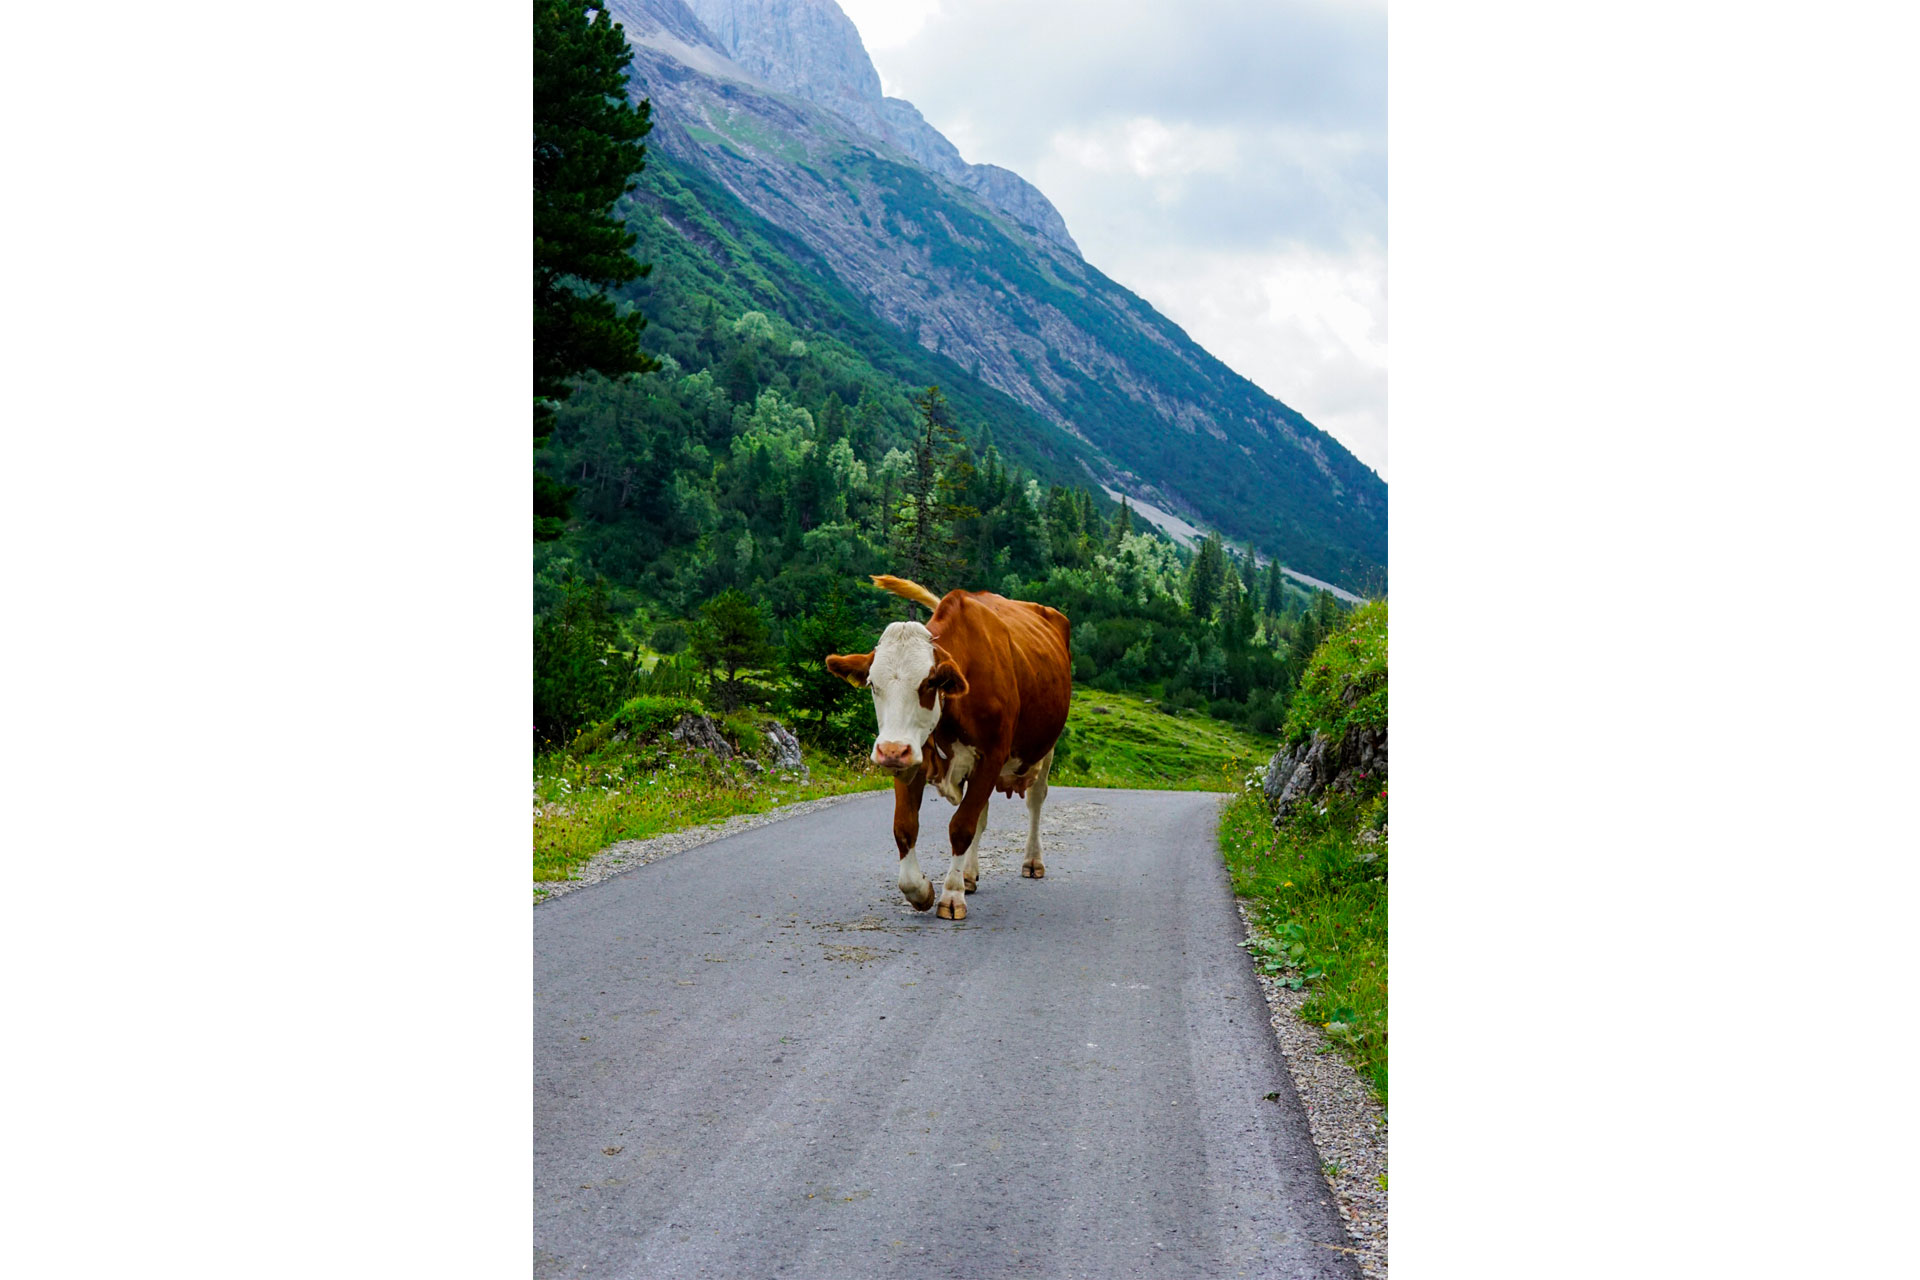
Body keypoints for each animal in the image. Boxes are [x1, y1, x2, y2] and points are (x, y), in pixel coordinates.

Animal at [821, 571, 1075, 921]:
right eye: (872, 683)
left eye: (929, 683)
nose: (890, 750)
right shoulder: (912, 759)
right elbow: (905, 826)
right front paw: (921, 891)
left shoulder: (992, 755)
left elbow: (961, 827)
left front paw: (951, 896)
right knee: (982, 814)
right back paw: (968, 874)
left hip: (1045, 747)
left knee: (1035, 800)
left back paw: (1032, 861)